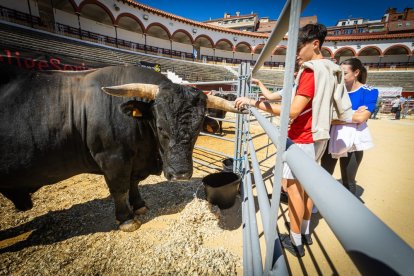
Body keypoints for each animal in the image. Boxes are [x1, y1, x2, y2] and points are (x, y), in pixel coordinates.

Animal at [0, 64, 241, 231]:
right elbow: (120, 188)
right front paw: (126, 219)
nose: (180, 174)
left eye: (198, 129)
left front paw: (140, 205)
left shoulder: (134, 161)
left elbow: (133, 183)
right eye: (160, 126)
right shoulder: (113, 159)